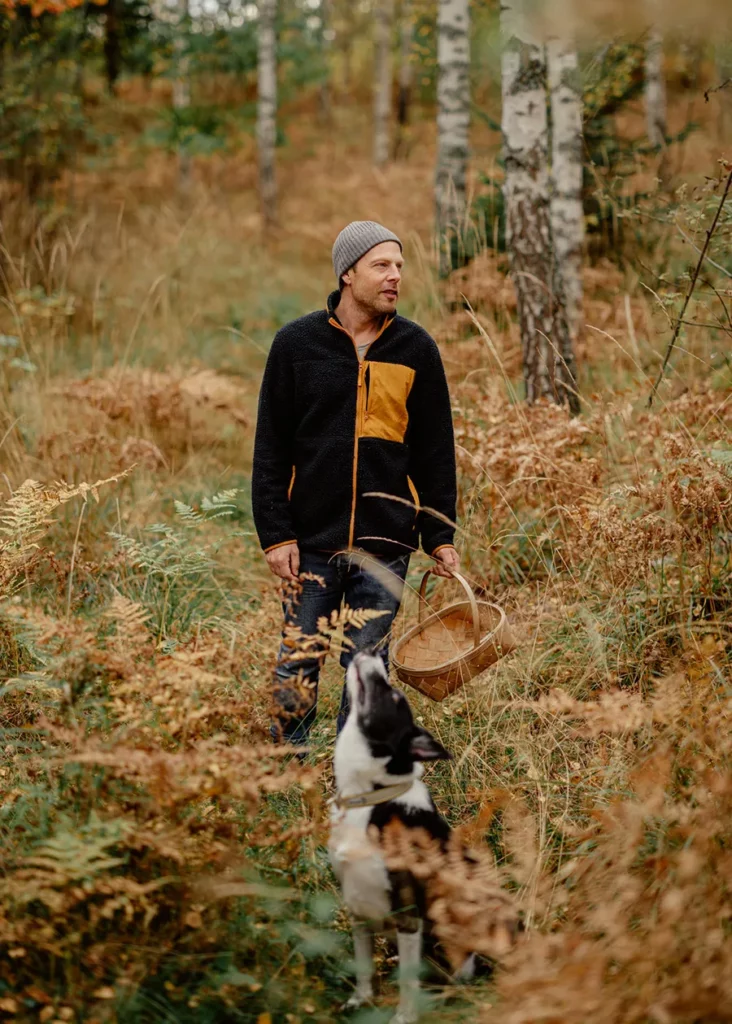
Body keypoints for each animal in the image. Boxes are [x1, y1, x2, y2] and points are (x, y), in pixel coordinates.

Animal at [329, 651, 479, 1019]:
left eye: (395, 697)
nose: (369, 651)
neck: (370, 798)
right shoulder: (356, 906)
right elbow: (363, 966)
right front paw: (361, 1000)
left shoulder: (409, 914)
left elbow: (408, 983)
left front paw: (404, 1017)